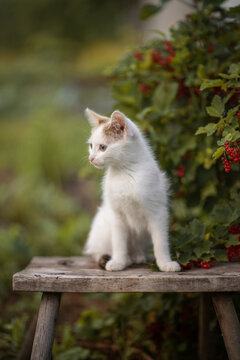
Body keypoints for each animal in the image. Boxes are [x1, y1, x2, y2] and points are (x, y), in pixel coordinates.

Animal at [84, 108, 180, 272]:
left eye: (103, 147)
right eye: (91, 146)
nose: (91, 158)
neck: (124, 173)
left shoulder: (158, 213)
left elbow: (160, 242)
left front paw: (165, 263)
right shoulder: (116, 215)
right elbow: (119, 242)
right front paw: (118, 262)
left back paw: (138, 256)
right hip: (102, 228)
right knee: (97, 252)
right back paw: (123, 258)